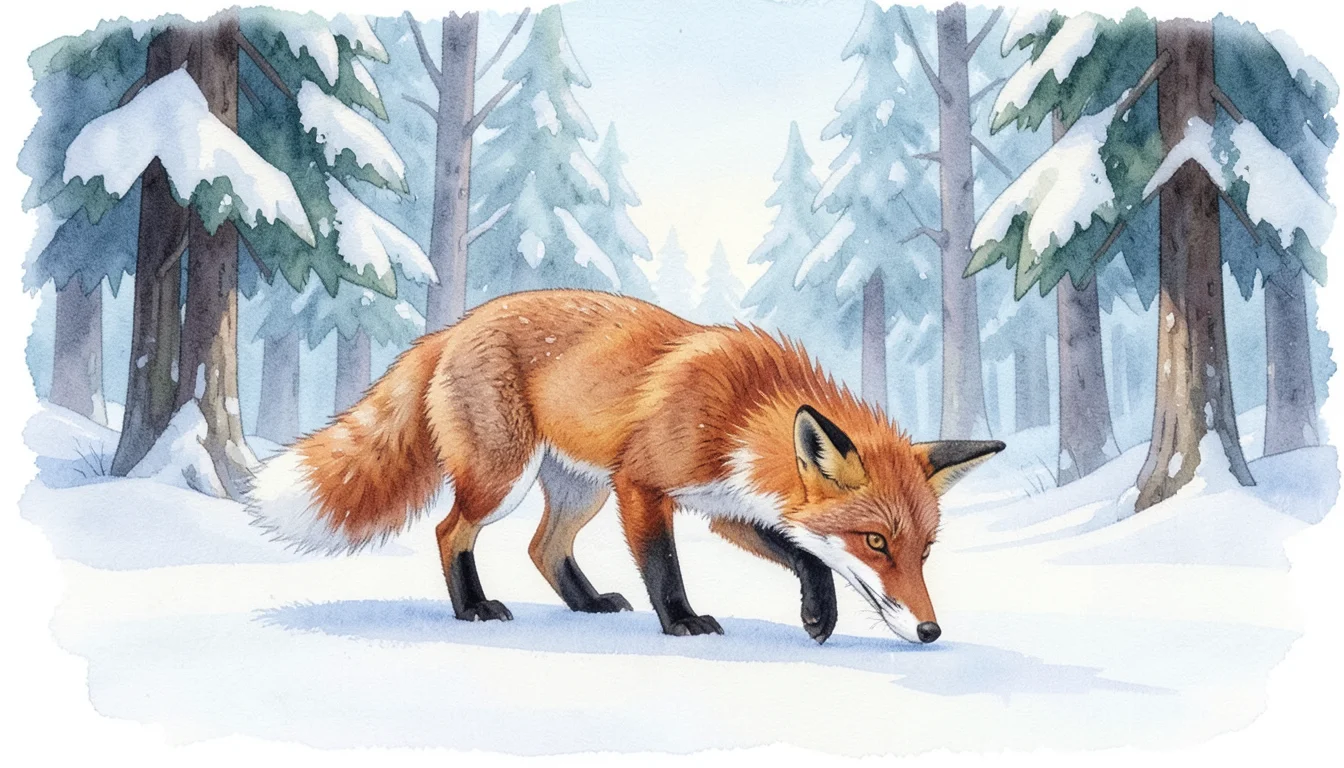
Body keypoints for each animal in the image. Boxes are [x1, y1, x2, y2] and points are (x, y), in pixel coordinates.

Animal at [246, 290, 1003, 644]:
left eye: (924, 549)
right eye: (875, 542)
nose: (932, 632)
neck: (742, 408)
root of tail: (453, 328)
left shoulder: (728, 506)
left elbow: (804, 555)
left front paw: (818, 613)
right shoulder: (644, 483)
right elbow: (665, 567)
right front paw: (682, 623)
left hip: (579, 490)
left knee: (542, 546)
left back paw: (586, 603)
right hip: (505, 478)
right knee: (449, 531)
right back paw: (473, 609)